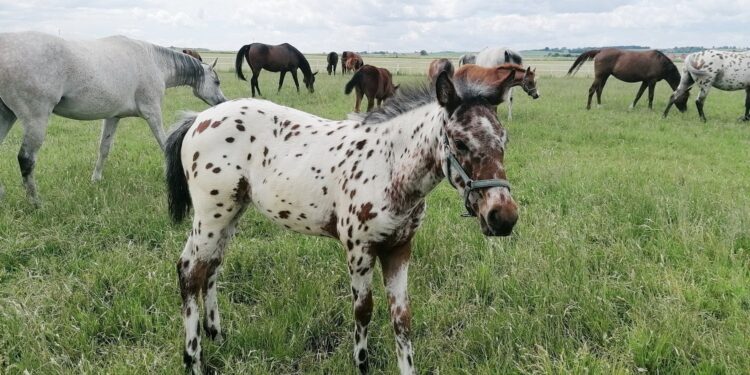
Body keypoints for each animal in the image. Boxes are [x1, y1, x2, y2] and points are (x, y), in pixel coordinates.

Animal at [0, 31, 226, 209]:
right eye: (217, 81)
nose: (222, 102)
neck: (154, 61)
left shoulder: (113, 117)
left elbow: (104, 148)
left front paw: (96, 179)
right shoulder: (152, 112)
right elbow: (165, 144)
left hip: (7, 116)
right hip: (35, 119)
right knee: (26, 159)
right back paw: (36, 203)